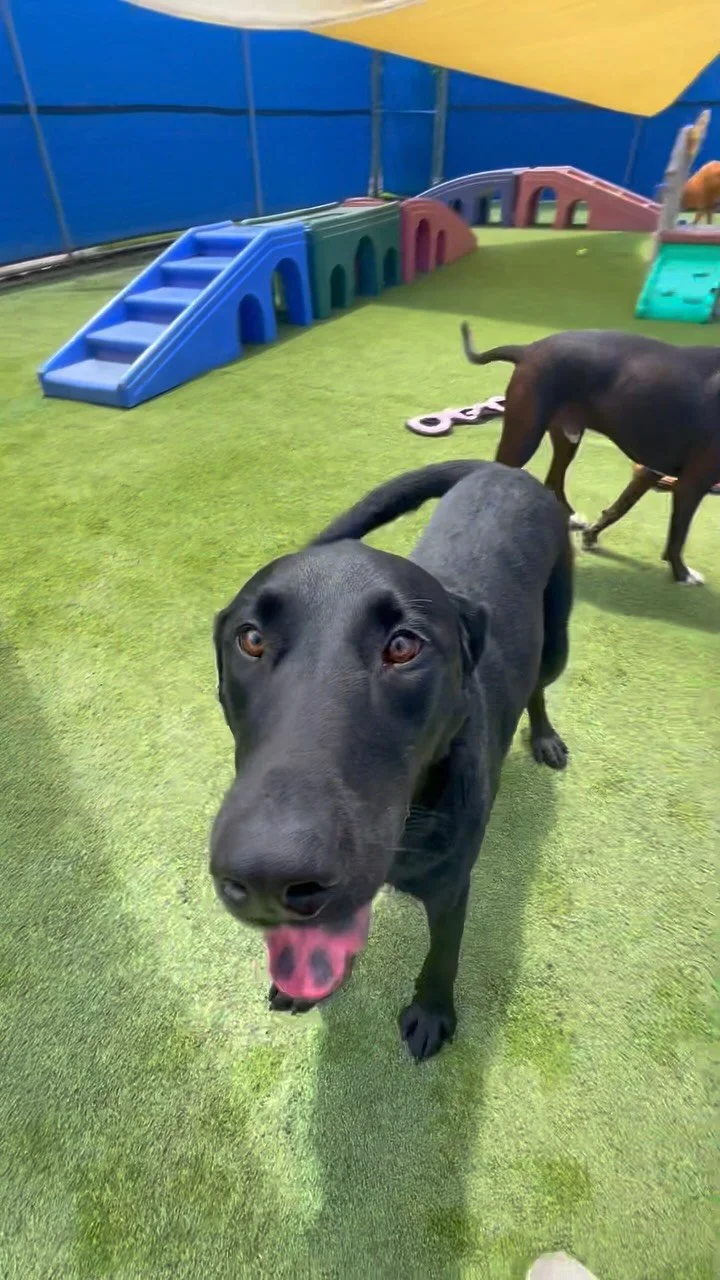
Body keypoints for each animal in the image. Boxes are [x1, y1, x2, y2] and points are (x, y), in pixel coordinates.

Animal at [210, 460, 572, 1060]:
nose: (267, 876)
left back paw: (544, 737)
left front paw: (431, 1013)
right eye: (252, 639)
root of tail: (502, 469)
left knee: (540, 687)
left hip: (557, 643)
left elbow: (444, 954)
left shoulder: (451, 886)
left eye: (404, 647)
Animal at [461, 324, 720, 585]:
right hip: (524, 437)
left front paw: (591, 535)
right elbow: (678, 534)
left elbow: (620, 509)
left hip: (567, 439)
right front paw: (682, 574)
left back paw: (571, 518)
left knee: (554, 480)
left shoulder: (651, 471)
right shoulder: (690, 486)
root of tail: (528, 350)